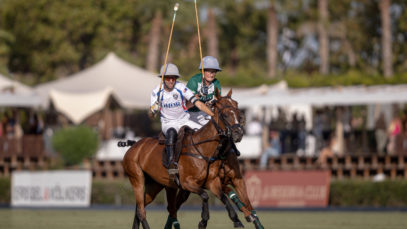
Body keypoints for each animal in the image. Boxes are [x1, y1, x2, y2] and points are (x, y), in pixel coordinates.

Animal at [122, 89, 245, 229]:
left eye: (237, 109)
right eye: (224, 115)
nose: (239, 133)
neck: (203, 150)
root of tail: (134, 146)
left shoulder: (213, 182)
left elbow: (223, 197)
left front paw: (237, 220)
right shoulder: (187, 183)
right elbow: (205, 195)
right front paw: (203, 220)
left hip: (154, 185)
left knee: (139, 207)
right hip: (137, 178)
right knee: (142, 211)